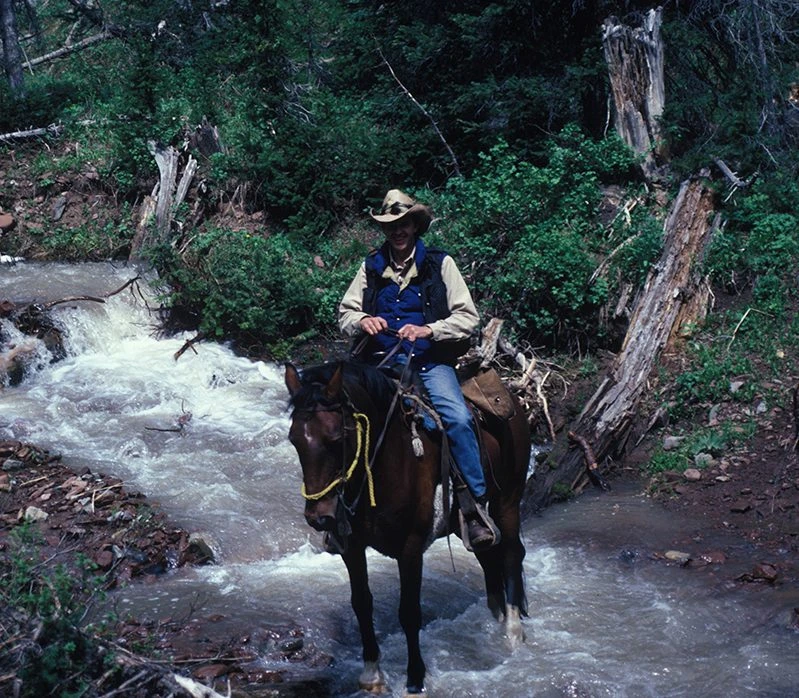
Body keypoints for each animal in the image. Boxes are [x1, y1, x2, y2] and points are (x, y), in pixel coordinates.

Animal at [284, 358, 528, 696]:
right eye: (294, 440)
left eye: (336, 439)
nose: (320, 517)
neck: (386, 463)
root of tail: (513, 399)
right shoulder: (352, 546)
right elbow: (362, 604)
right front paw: (372, 675)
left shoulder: (411, 548)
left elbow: (410, 612)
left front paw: (415, 679)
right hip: (466, 524)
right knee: (488, 556)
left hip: (508, 499)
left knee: (511, 554)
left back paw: (513, 633)